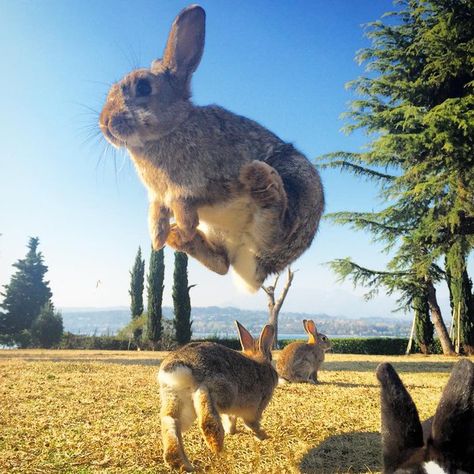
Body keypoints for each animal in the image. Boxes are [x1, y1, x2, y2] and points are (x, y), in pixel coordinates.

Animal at [98, 5, 324, 290]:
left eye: (143, 86)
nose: (104, 123)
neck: (172, 127)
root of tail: (255, 272)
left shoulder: (206, 183)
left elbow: (184, 203)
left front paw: (181, 227)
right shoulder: (158, 197)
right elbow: (157, 212)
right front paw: (158, 237)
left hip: (297, 187)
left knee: (275, 233)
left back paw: (264, 185)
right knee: (222, 264)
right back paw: (180, 240)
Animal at [157, 320, 280, 472]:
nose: (277, 375)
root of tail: (183, 364)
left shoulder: (232, 412)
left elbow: (231, 419)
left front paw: (232, 431)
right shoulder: (256, 408)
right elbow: (251, 424)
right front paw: (263, 436)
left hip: (175, 397)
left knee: (171, 420)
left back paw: (182, 464)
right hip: (223, 390)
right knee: (206, 411)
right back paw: (217, 446)